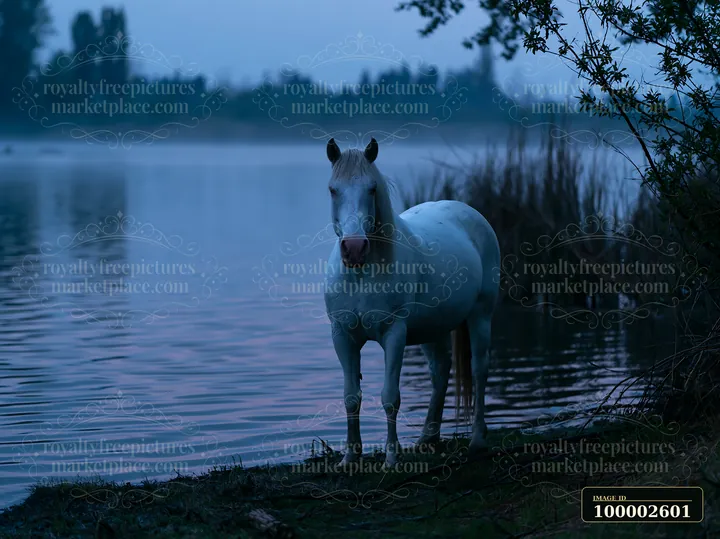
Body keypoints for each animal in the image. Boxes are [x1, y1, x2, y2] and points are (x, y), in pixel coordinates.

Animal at [323, 137, 501, 467]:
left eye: (372, 188)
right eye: (333, 189)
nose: (354, 249)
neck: (363, 275)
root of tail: (469, 212)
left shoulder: (394, 333)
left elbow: (390, 397)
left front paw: (392, 458)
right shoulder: (342, 335)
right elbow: (351, 396)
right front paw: (350, 457)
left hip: (481, 316)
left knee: (479, 369)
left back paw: (477, 440)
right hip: (434, 329)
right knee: (441, 372)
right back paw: (427, 438)